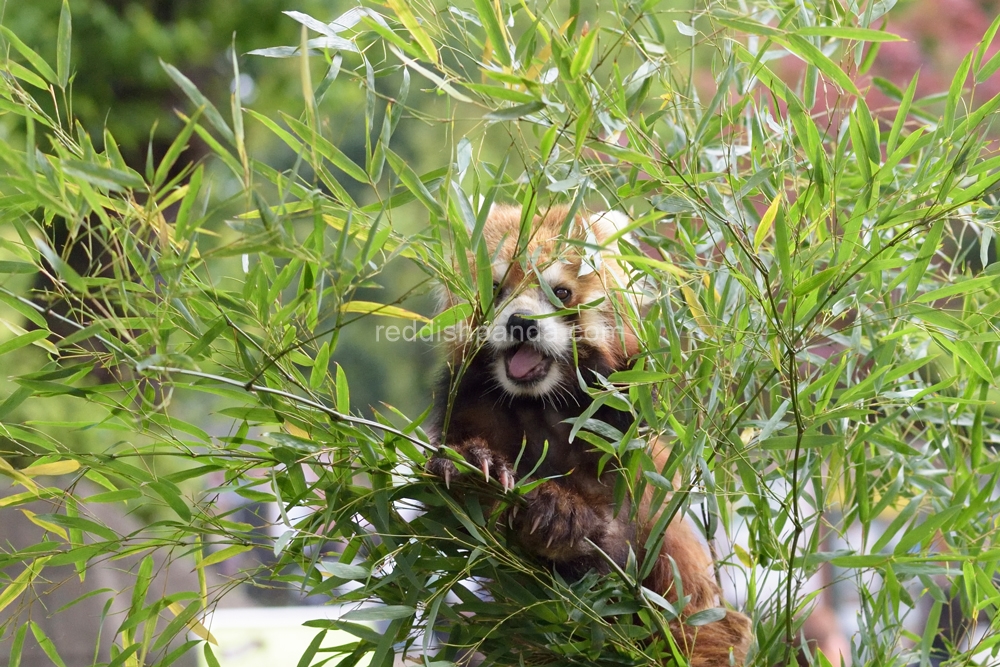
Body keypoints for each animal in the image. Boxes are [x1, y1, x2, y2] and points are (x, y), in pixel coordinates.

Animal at [428, 205, 752, 667]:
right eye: (496, 289)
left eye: (560, 292)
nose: (521, 323)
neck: (540, 403)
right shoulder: (473, 406)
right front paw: (475, 465)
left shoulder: (624, 440)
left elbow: (621, 540)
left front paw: (560, 514)